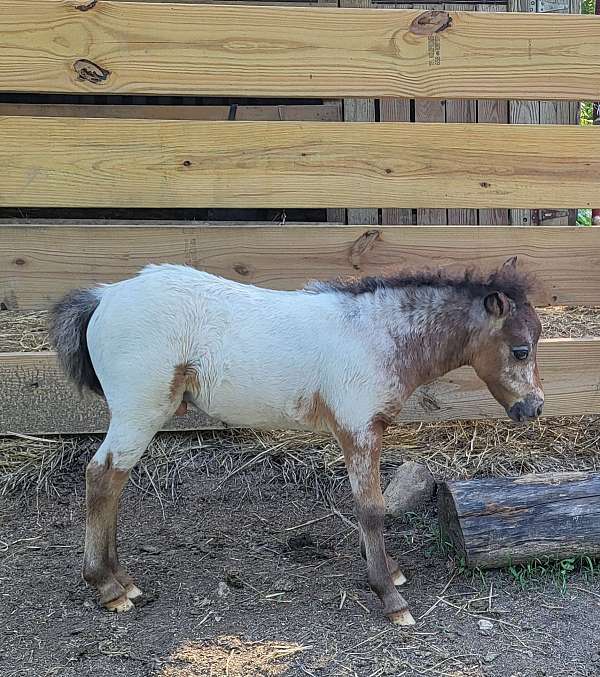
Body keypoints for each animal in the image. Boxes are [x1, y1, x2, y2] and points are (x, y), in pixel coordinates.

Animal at [51, 258, 544, 624]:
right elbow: (371, 508)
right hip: (140, 411)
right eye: (521, 349)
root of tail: (104, 296)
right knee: (101, 476)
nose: (534, 408)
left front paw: (391, 572)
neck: (376, 337)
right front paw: (390, 597)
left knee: (112, 480)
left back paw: (123, 580)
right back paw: (107, 586)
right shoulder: (358, 429)